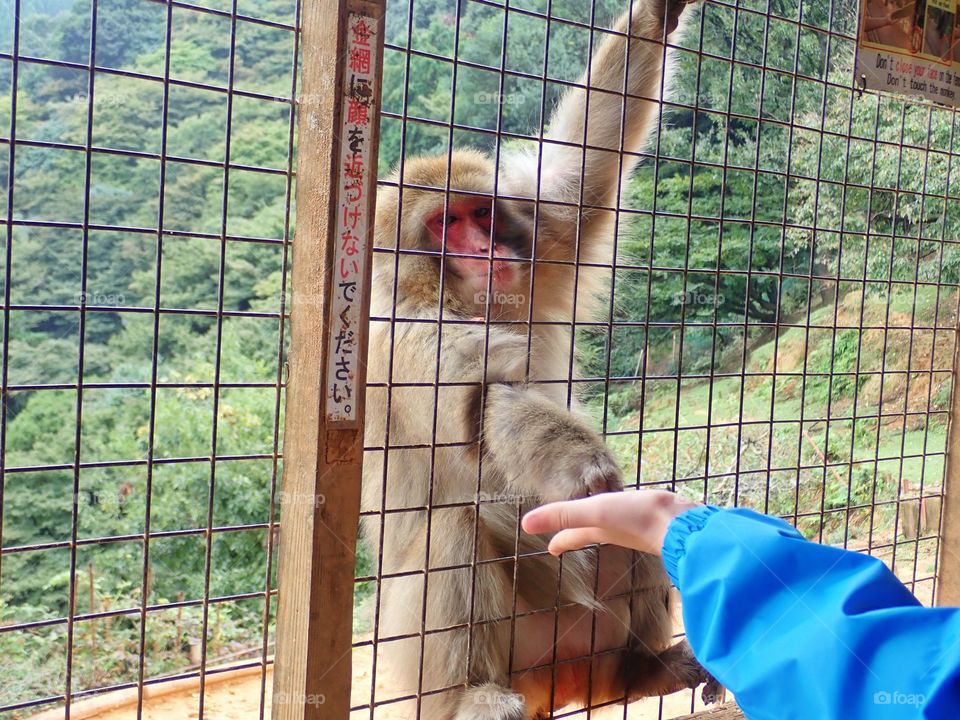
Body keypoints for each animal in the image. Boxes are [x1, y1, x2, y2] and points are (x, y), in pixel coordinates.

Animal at [362, 2, 720, 716]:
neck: (465, 301)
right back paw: (473, 696)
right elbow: (477, 401)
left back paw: (639, 671)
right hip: (457, 659)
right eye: (445, 224)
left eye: (482, 214)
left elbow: (583, 180)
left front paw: (656, 17)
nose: (488, 250)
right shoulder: (401, 333)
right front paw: (575, 463)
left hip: (584, 638)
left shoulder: (541, 245)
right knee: (454, 529)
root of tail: (562, 682)